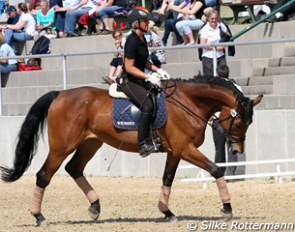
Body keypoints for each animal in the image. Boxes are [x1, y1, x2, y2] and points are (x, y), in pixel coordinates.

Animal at [0, 76, 264, 227]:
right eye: (239, 122)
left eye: (250, 122)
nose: (236, 149)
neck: (189, 102)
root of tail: (60, 94)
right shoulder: (184, 148)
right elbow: (216, 170)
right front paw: (227, 209)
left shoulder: (175, 151)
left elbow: (167, 179)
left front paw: (167, 212)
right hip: (62, 146)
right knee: (44, 175)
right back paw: (39, 216)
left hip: (90, 143)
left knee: (74, 169)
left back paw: (95, 207)